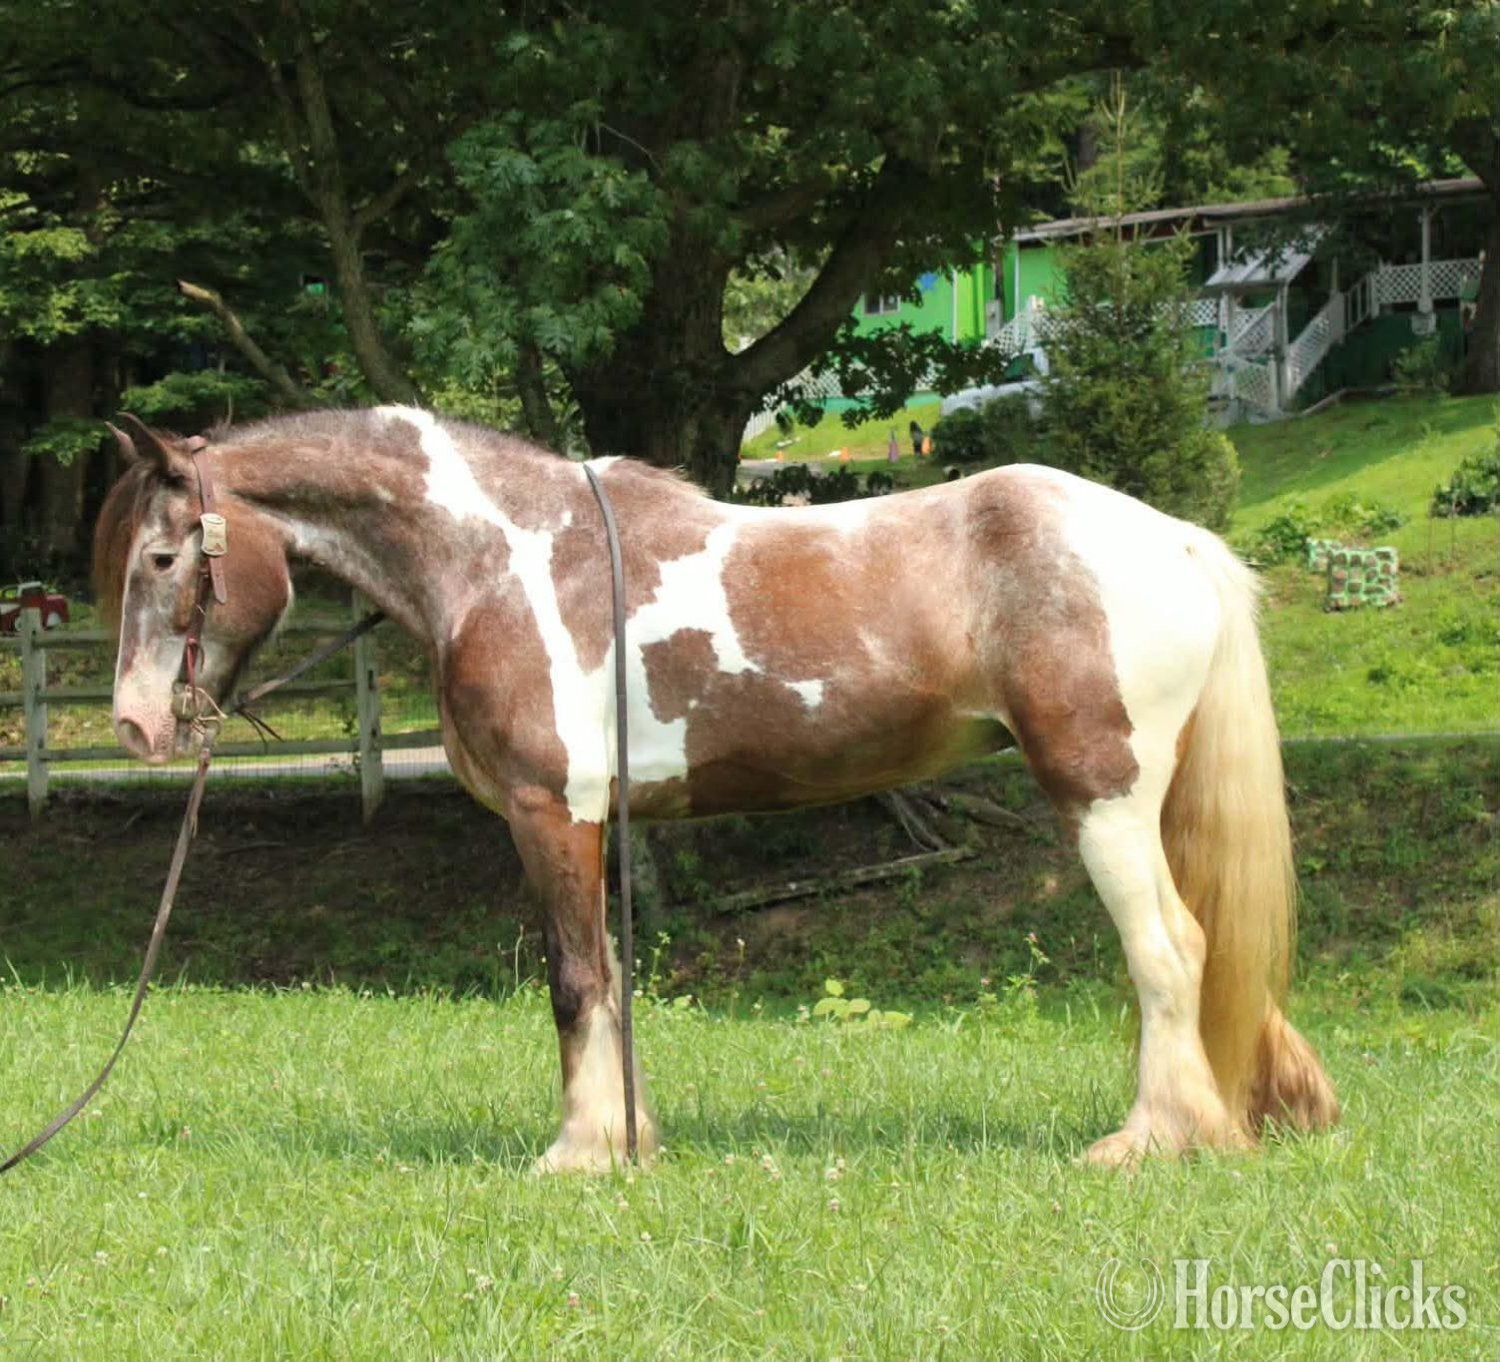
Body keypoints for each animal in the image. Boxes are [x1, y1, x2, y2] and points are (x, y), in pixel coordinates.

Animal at [92, 406, 1340, 1171]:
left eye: (161, 558)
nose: (137, 724)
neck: (501, 559)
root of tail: (1178, 541)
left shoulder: (554, 816)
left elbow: (575, 982)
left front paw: (579, 1151)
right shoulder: (599, 828)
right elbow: (612, 978)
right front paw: (627, 1139)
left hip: (1101, 797)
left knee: (1168, 951)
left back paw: (1151, 1139)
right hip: (1144, 803)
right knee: (1208, 945)